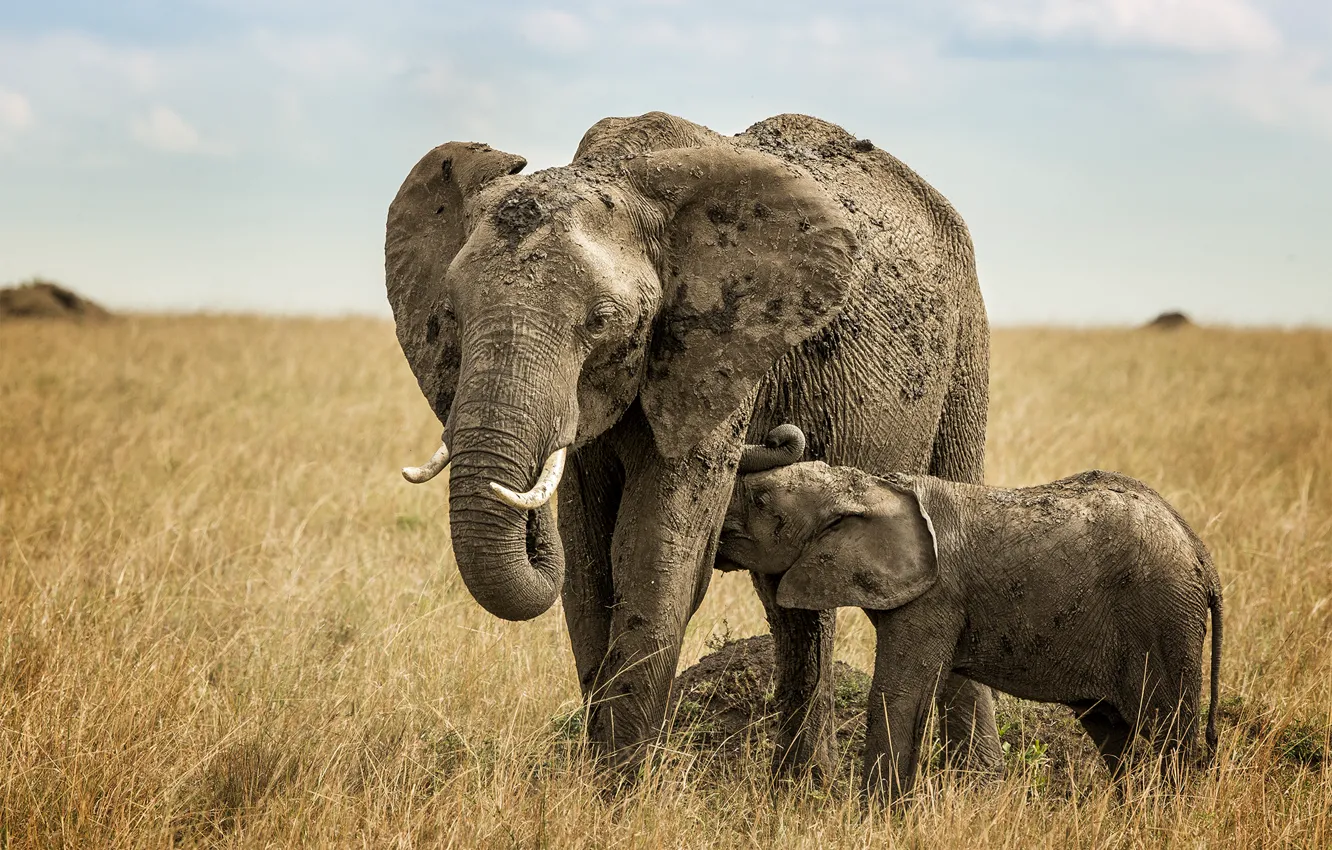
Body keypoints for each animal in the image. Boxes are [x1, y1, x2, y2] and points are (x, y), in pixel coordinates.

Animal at [385, 110, 1000, 779]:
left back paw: (974, 779)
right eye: (450, 313)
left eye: (601, 320)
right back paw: (801, 786)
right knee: (793, 604)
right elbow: (587, 562)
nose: (785, 433)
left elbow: (653, 549)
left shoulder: (720, 355)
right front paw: (597, 779)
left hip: (967, 342)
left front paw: (618, 788)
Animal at [719, 449, 1224, 803]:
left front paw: (874, 821)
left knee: (1169, 735)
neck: (864, 485)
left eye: (761, 500)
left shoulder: (934, 597)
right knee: (1115, 734)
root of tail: (1201, 552)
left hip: (1162, 617)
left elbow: (899, 695)